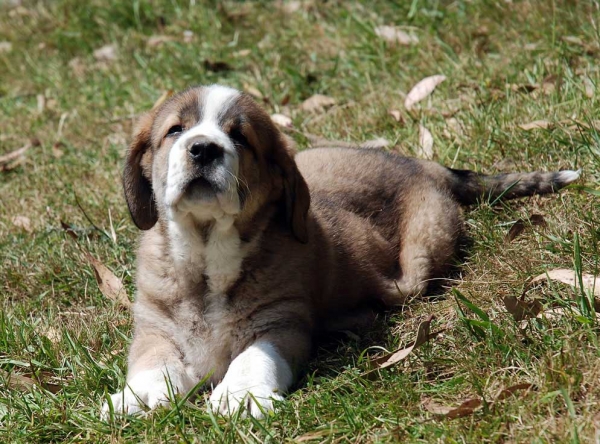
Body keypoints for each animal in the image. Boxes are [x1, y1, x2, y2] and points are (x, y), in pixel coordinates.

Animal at [101, 84, 580, 420]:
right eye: (176, 131)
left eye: (240, 138)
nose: (203, 148)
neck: (204, 254)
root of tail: (426, 165)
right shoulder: (155, 327)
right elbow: (153, 362)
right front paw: (140, 395)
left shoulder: (282, 322)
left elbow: (255, 356)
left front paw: (241, 394)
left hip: (418, 260)